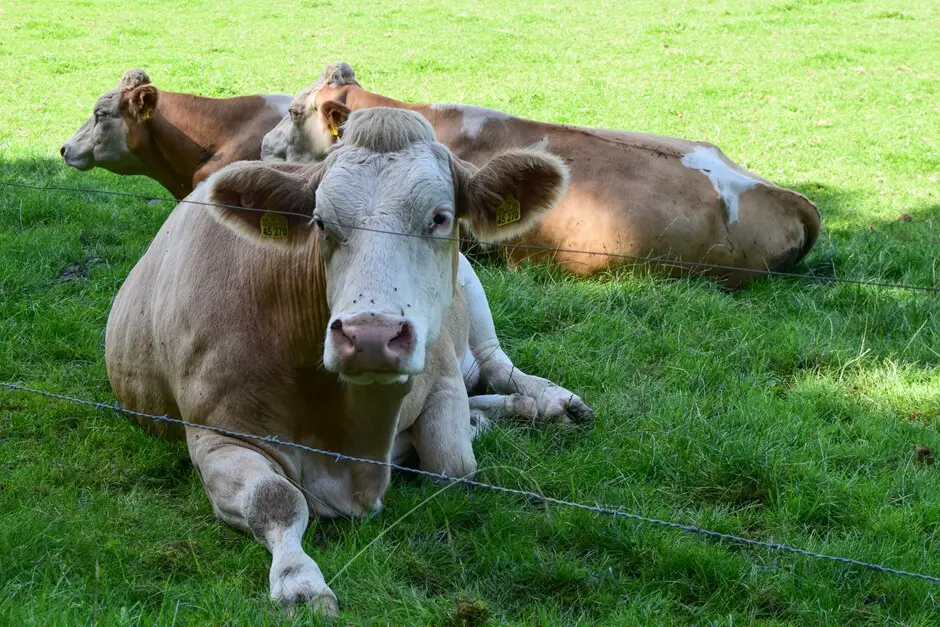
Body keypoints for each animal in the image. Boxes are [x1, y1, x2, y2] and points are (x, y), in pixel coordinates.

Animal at [106, 108, 580, 612]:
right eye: (319, 221)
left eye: (440, 217)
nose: (370, 336)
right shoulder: (216, 433)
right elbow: (273, 499)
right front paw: (299, 582)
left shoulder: (442, 380)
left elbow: (454, 467)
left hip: (473, 292)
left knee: (497, 363)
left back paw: (551, 401)